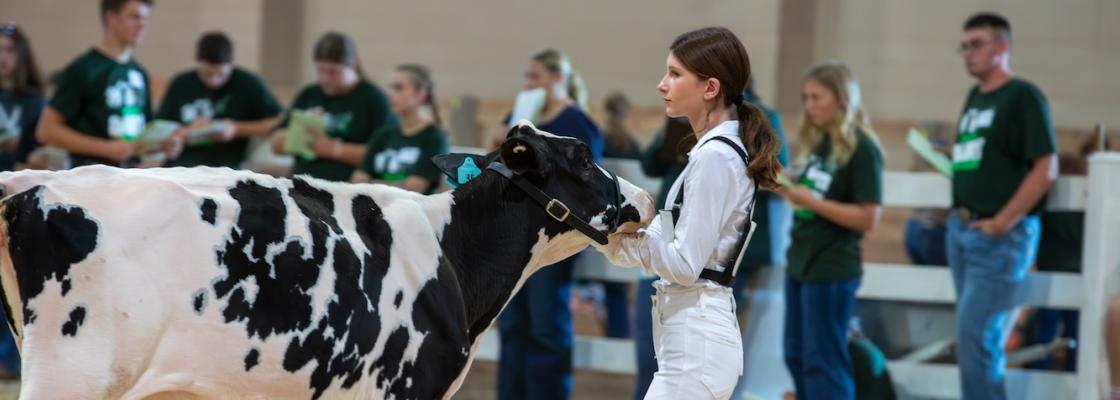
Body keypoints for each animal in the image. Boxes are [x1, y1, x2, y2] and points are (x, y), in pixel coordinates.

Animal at [0, 122, 654, 399]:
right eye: (584, 154)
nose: (645, 198)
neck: (453, 253)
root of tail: (37, 183)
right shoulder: (403, 389)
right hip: (72, 372)